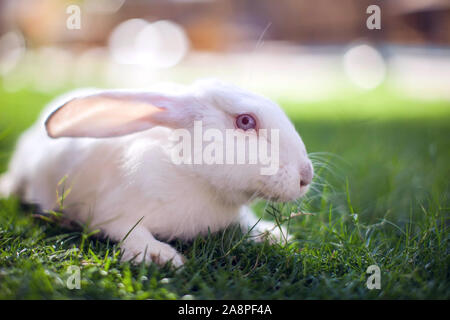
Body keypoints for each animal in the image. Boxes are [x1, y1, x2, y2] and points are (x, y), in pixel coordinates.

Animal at [0, 80, 312, 268]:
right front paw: (158, 255)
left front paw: (274, 234)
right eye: (246, 121)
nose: (306, 177)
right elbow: (129, 229)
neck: (195, 176)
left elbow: (247, 222)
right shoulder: (111, 211)